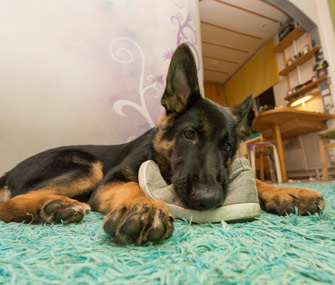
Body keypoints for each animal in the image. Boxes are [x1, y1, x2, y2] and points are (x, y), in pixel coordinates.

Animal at [0, 44, 326, 244]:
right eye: (189, 135)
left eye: (226, 146)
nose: (207, 200)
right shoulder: (109, 182)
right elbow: (134, 187)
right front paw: (144, 206)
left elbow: (257, 180)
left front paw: (288, 192)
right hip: (88, 168)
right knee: (8, 202)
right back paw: (51, 207)